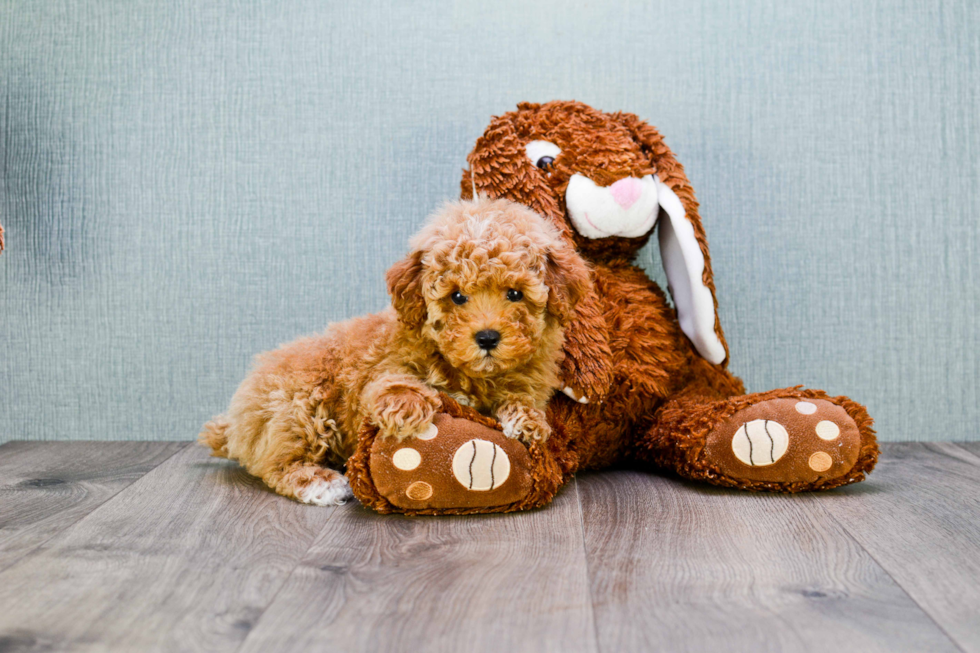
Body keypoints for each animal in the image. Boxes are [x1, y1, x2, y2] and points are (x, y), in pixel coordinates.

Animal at [199, 199, 588, 504]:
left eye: (515, 294)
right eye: (457, 296)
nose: (488, 337)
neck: (475, 375)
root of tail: (235, 422)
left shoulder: (529, 379)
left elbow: (521, 397)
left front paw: (528, 421)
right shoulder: (382, 367)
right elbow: (393, 381)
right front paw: (407, 405)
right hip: (298, 408)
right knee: (277, 463)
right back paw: (321, 484)